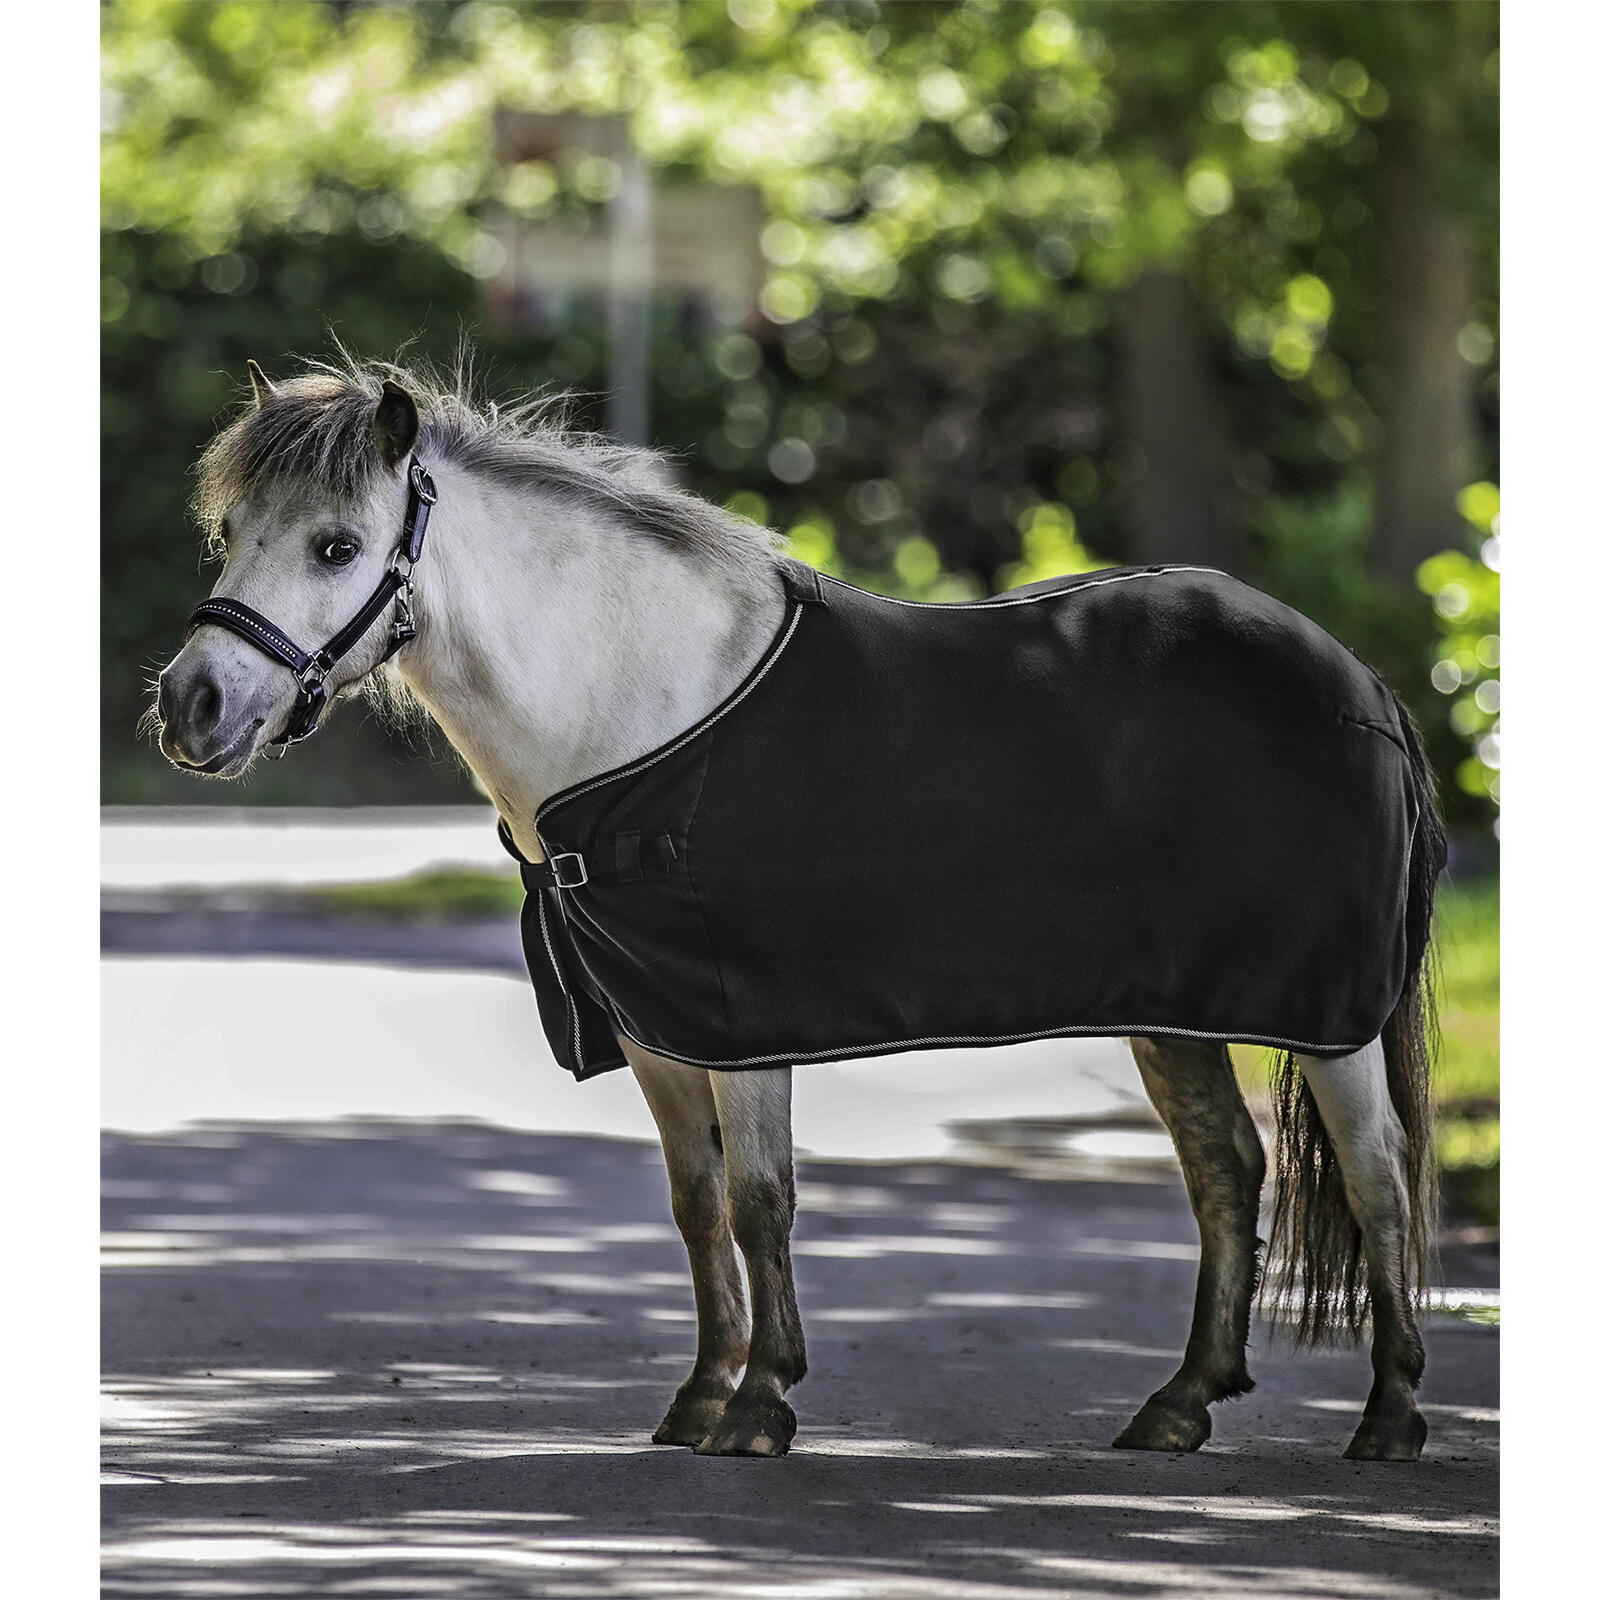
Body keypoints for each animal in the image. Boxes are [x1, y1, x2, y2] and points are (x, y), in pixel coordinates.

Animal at [152, 355, 1443, 1463]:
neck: (638, 707)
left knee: (1378, 1173)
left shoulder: (739, 1018)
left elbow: (761, 1200)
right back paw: (1179, 1404)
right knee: (1226, 1167)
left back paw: (1387, 1416)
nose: (190, 706)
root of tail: (1361, 680)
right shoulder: (656, 1029)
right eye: (231, 533)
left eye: (336, 544)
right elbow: (696, 1204)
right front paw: (700, 1394)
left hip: (1327, 1014)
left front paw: (761, 1402)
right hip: (1175, 1012)